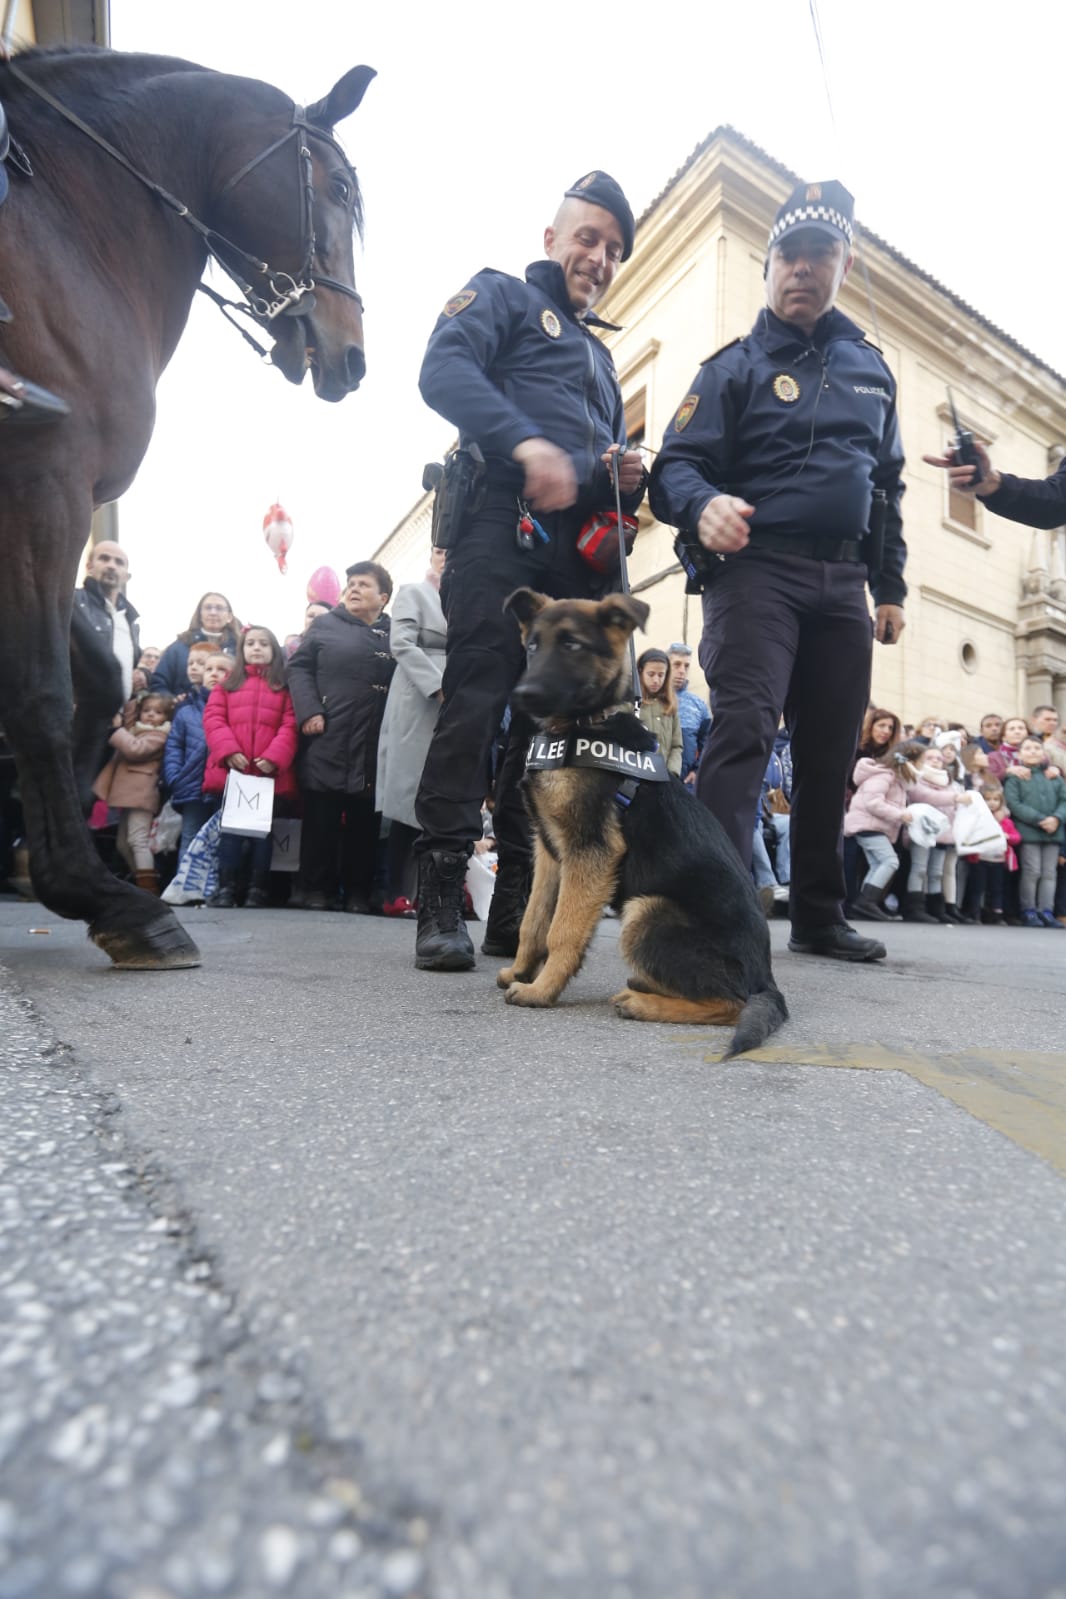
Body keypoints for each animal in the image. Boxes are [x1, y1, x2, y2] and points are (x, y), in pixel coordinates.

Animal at [0, 49, 378, 965]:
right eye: (339, 187)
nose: (352, 357)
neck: (75, 216)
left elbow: (97, 676)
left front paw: (42, 856)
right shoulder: (45, 477)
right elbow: (39, 686)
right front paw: (103, 893)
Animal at [498, 591, 783, 1061]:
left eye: (572, 645)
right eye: (533, 646)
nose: (522, 694)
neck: (586, 724)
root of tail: (768, 981)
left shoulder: (590, 851)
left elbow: (562, 931)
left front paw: (541, 991)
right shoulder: (549, 852)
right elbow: (533, 921)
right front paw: (521, 972)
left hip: (646, 910)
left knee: (731, 1003)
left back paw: (642, 1002)